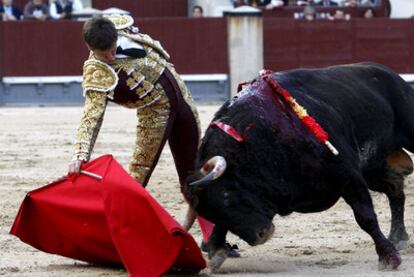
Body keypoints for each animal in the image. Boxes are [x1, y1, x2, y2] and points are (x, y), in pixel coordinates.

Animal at [187, 62, 414, 270]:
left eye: (227, 196)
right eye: (209, 212)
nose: (261, 235)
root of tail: (390, 73)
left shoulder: (348, 175)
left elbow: (365, 217)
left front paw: (389, 258)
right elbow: (220, 227)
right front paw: (216, 250)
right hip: (374, 167)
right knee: (395, 190)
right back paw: (398, 236)